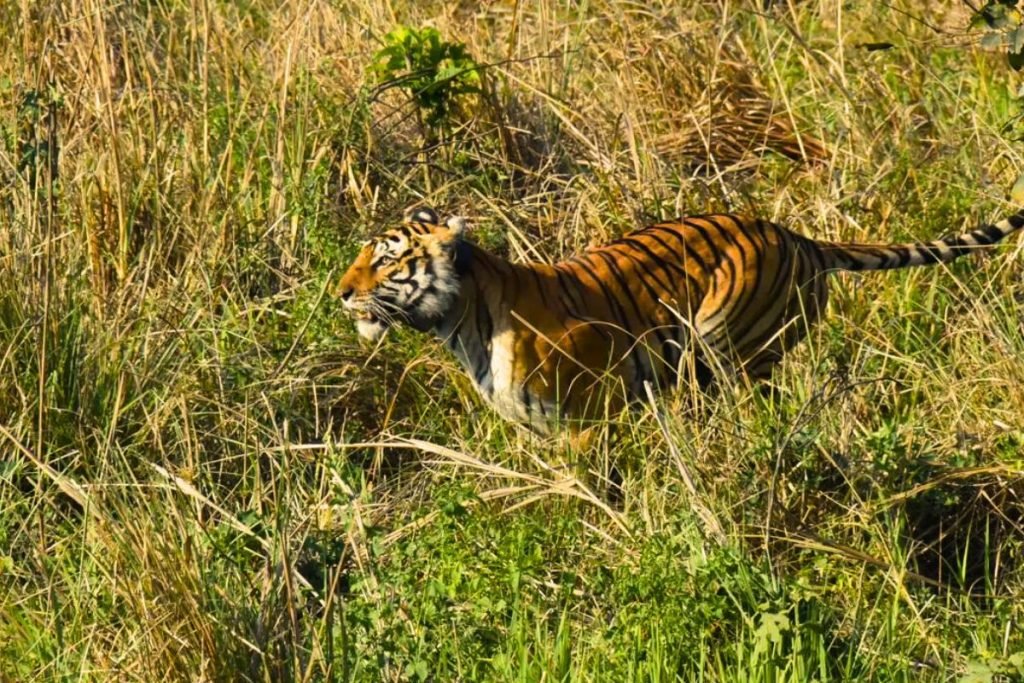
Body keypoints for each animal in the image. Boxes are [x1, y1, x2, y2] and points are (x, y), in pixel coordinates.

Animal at [336, 206, 1024, 433]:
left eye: (385, 259)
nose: (340, 293)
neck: (462, 325)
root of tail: (795, 236)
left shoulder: (591, 420)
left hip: (728, 345)